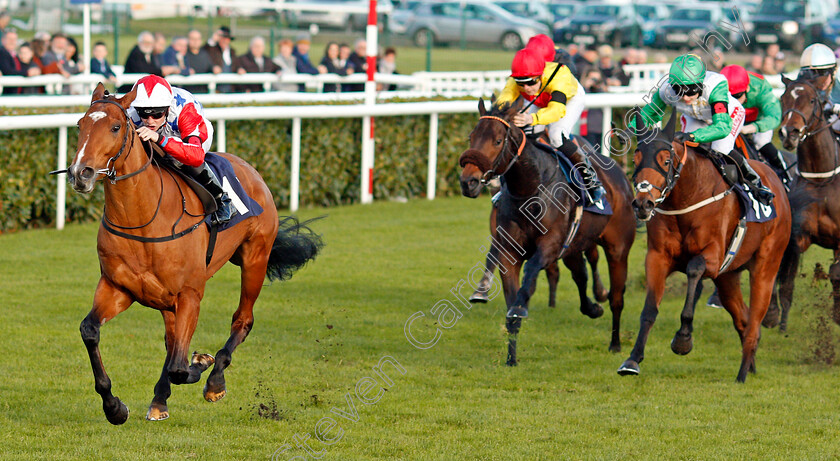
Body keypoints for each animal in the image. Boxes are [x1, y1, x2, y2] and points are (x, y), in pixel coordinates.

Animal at [65, 83, 322, 424]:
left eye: (116, 127)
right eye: (80, 124)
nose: (80, 172)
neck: (143, 218)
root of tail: (251, 171)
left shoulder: (189, 293)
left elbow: (179, 366)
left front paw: (201, 363)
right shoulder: (118, 287)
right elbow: (90, 331)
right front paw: (114, 407)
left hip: (255, 258)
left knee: (242, 320)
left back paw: (214, 382)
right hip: (166, 299)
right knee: (172, 340)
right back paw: (160, 400)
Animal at [462, 98, 632, 362]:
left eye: (498, 141)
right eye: (472, 137)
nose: (467, 182)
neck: (530, 188)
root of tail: (620, 177)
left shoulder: (550, 245)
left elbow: (531, 271)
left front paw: (521, 304)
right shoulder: (508, 250)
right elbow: (510, 305)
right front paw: (511, 359)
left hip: (618, 248)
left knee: (616, 297)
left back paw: (615, 342)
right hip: (573, 247)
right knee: (581, 275)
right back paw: (593, 308)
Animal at [624, 108, 796, 380]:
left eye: (665, 160)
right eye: (636, 159)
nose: (643, 204)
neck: (687, 197)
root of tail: (776, 182)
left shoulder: (713, 258)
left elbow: (694, 270)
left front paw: (683, 339)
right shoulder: (657, 257)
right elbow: (649, 309)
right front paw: (632, 360)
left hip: (766, 267)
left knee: (754, 321)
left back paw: (742, 374)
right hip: (728, 278)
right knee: (743, 319)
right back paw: (751, 365)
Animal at [776, 76, 840, 328]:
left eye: (812, 100)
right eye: (782, 98)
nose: (789, 132)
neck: (821, 178)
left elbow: (836, 273)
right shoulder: (799, 234)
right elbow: (787, 278)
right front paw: (780, 322)